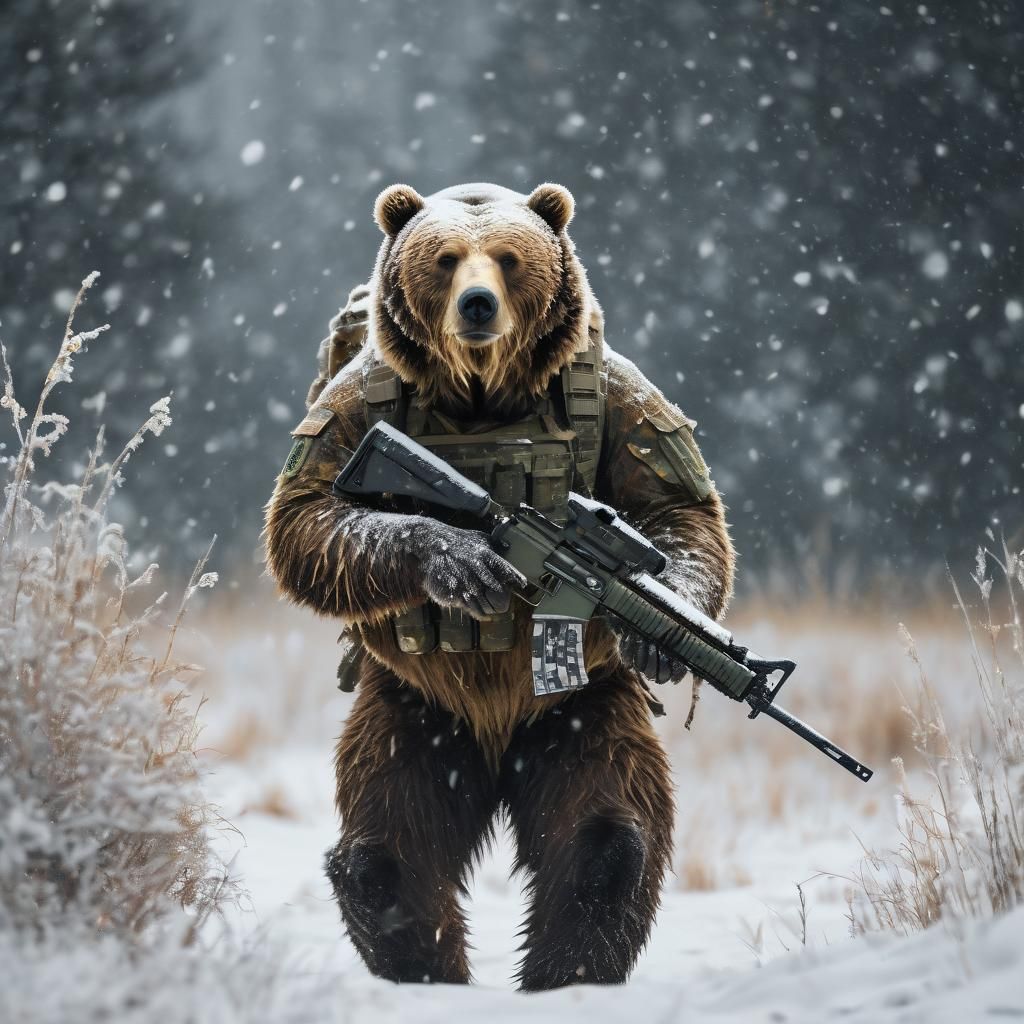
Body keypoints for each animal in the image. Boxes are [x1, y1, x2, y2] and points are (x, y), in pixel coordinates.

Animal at [263, 181, 735, 990]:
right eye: (445, 258)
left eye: (510, 259)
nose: (478, 304)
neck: (484, 401)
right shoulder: (349, 405)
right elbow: (304, 516)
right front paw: (456, 560)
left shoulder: (627, 397)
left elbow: (681, 509)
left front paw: (665, 640)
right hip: (412, 714)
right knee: (386, 851)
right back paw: (426, 966)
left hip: (579, 717)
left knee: (605, 839)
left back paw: (567, 970)